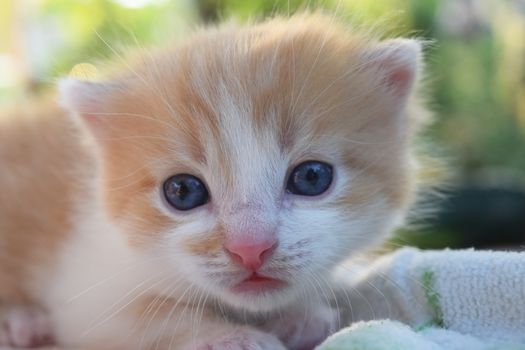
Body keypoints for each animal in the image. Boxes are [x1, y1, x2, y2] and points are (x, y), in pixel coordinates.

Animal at [0, 12, 426, 348]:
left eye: (311, 177)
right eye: (182, 191)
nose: (250, 248)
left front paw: (301, 315)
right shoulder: (85, 287)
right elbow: (148, 314)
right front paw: (232, 336)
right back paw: (22, 323)